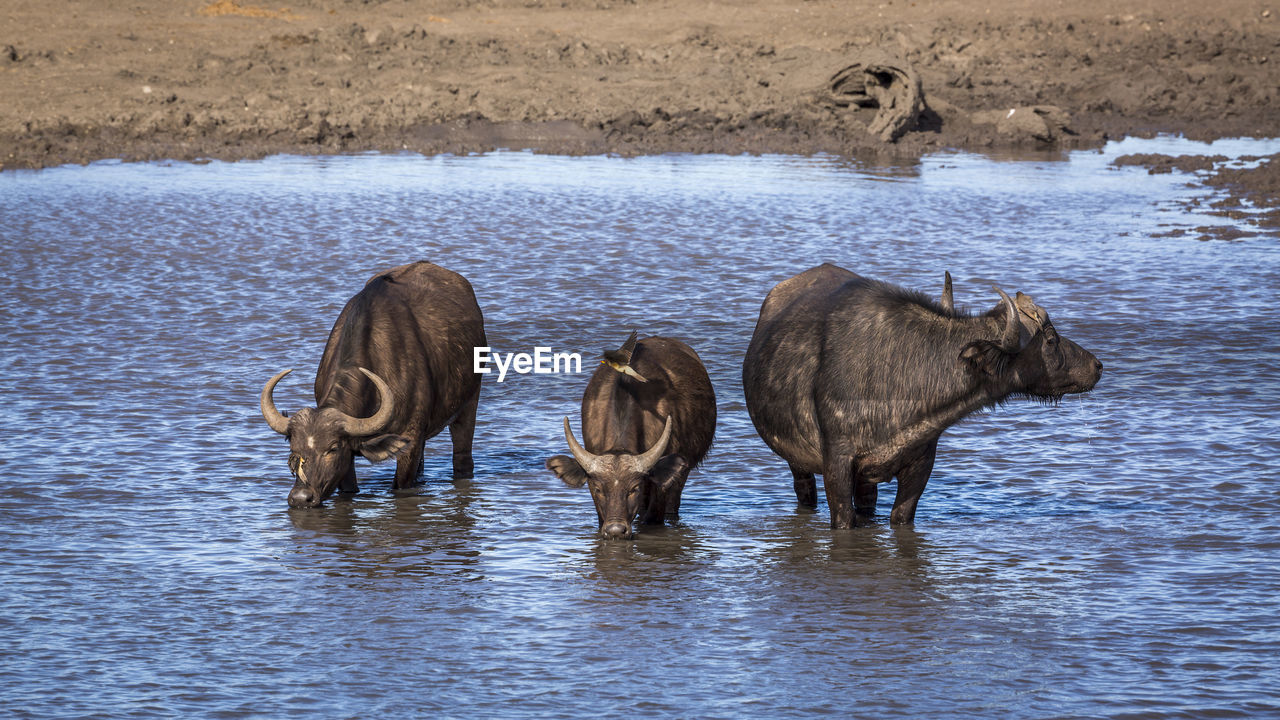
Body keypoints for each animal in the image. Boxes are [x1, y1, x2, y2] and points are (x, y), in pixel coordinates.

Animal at [258, 258, 483, 504]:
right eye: (293, 450)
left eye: (332, 448)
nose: (300, 497)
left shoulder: (410, 439)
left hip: (469, 404)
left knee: (462, 458)